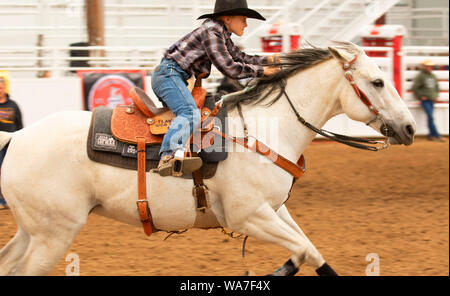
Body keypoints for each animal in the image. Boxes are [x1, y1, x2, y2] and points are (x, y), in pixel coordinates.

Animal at [0, 42, 414, 276]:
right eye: (377, 81)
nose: (409, 127)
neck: (264, 130)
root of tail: (18, 136)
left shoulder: (274, 210)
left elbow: (310, 251)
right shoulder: (248, 216)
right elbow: (298, 252)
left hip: (34, 231)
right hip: (54, 235)